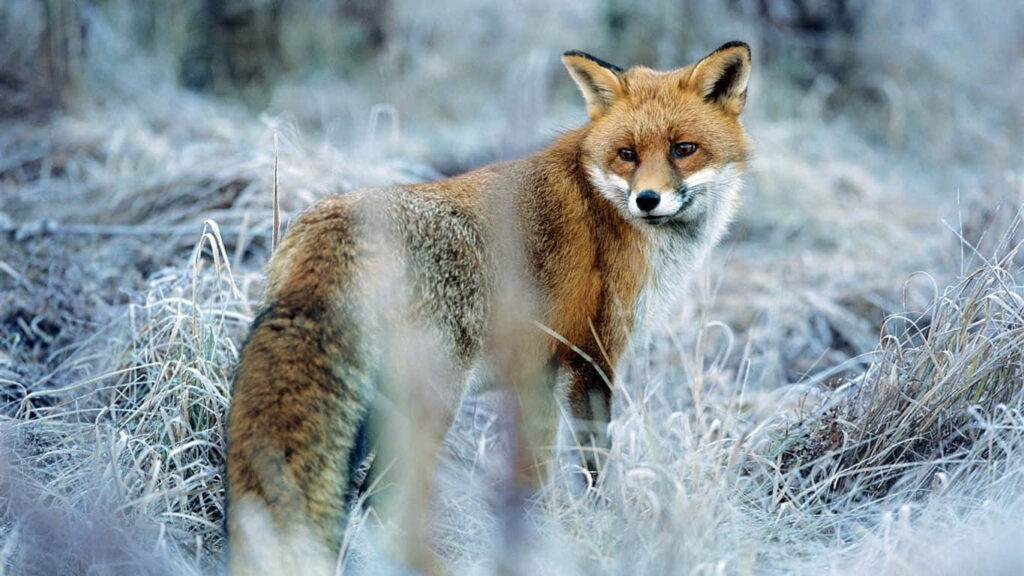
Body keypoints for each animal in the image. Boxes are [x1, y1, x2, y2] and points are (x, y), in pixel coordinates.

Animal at [226, 41, 752, 575]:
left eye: (683, 149)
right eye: (627, 155)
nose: (647, 199)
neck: (605, 206)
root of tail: (332, 223)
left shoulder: (540, 370)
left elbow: (533, 472)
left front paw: (533, 540)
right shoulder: (592, 357)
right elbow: (594, 465)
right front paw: (609, 531)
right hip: (432, 402)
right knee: (383, 501)